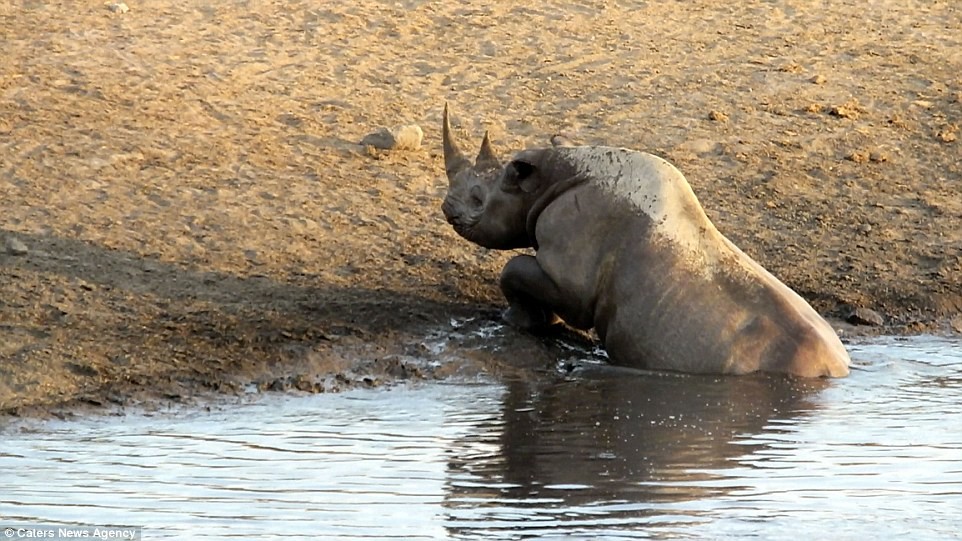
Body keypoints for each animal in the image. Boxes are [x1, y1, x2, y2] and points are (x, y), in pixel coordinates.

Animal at [440, 105, 848, 376]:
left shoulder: (572, 280)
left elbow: (514, 269)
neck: (548, 178)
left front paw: (516, 321)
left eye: (477, 198)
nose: (446, 208)